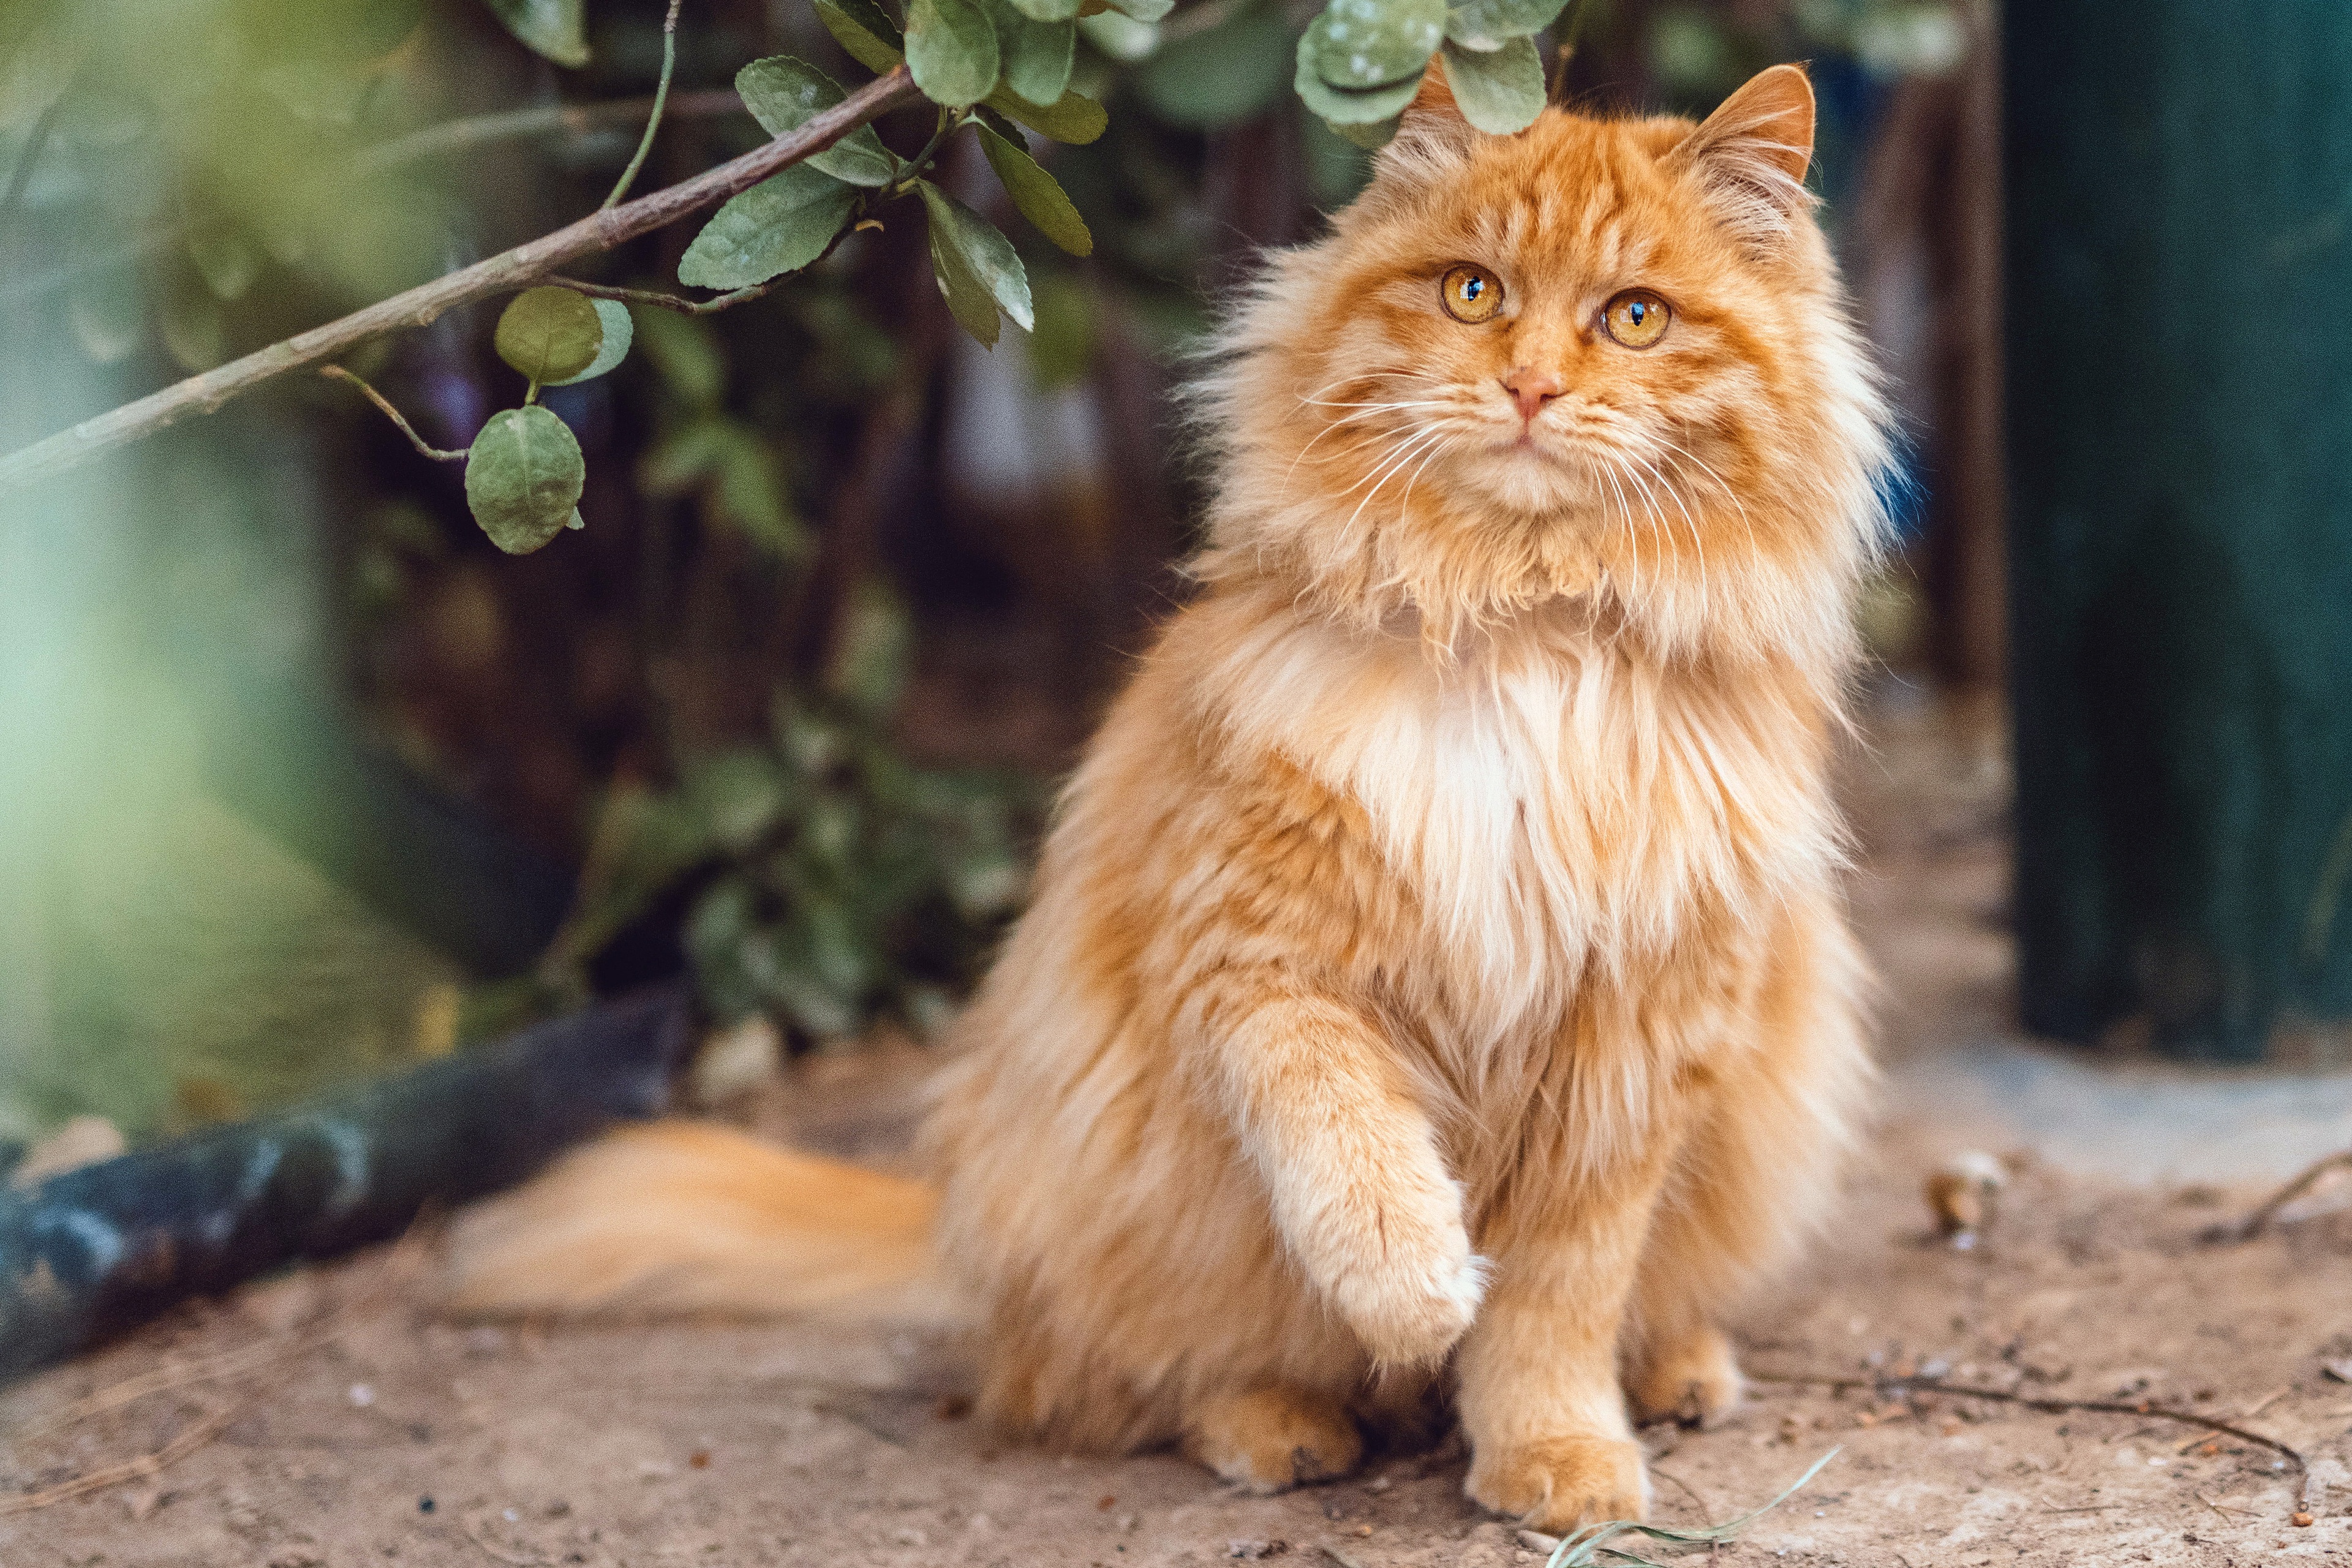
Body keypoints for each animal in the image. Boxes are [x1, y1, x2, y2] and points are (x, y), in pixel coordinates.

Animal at [454, 64, 1891, 1532]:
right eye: (1472, 292)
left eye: (1635, 318)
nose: (1532, 386)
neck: (1517, 629)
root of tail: (953, 1220)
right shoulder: (1259, 967)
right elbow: (1351, 1151)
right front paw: (1420, 1289)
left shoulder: (1638, 1048)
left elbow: (1560, 1298)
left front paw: (1558, 1453)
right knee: (1132, 1378)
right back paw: (1281, 1422)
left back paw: (1677, 1371)